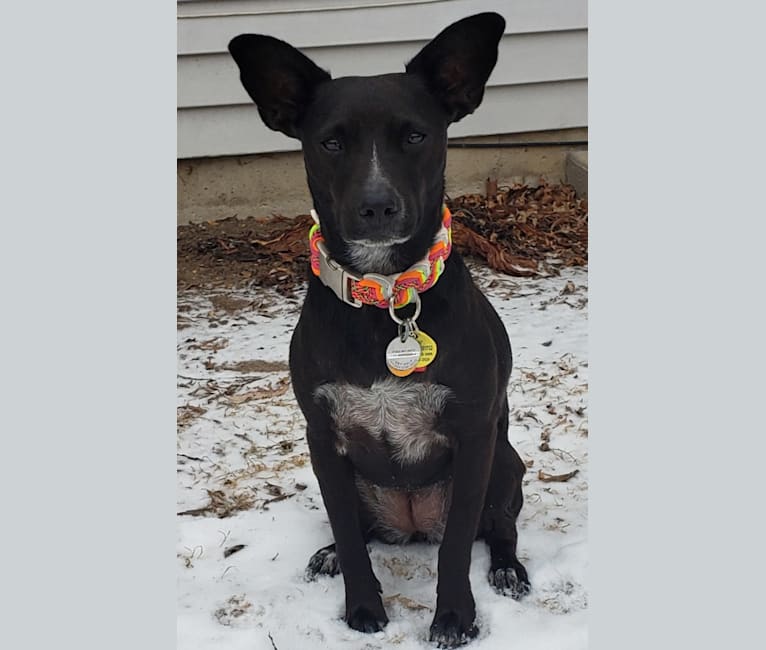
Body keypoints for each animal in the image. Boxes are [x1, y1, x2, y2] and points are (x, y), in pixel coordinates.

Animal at [228, 12, 528, 644]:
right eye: (330, 141)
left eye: (415, 136)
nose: (376, 207)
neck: (385, 296)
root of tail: (411, 524)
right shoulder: (322, 438)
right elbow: (346, 532)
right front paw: (362, 606)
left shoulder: (474, 436)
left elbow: (457, 547)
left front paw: (453, 618)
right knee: (359, 531)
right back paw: (329, 554)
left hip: (505, 463)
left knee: (498, 529)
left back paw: (509, 569)